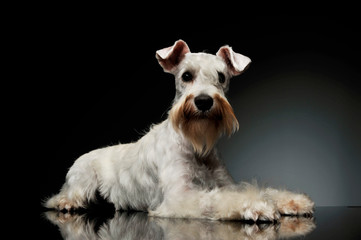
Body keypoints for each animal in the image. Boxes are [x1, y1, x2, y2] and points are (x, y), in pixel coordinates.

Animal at [44, 39, 312, 221]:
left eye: (221, 77)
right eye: (186, 75)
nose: (203, 101)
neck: (197, 147)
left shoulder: (225, 183)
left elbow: (259, 190)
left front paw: (292, 201)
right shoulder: (181, 197)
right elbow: (216, 199)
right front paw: (256, 205)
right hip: (82, 181)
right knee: (62, 197)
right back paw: (66, 203)